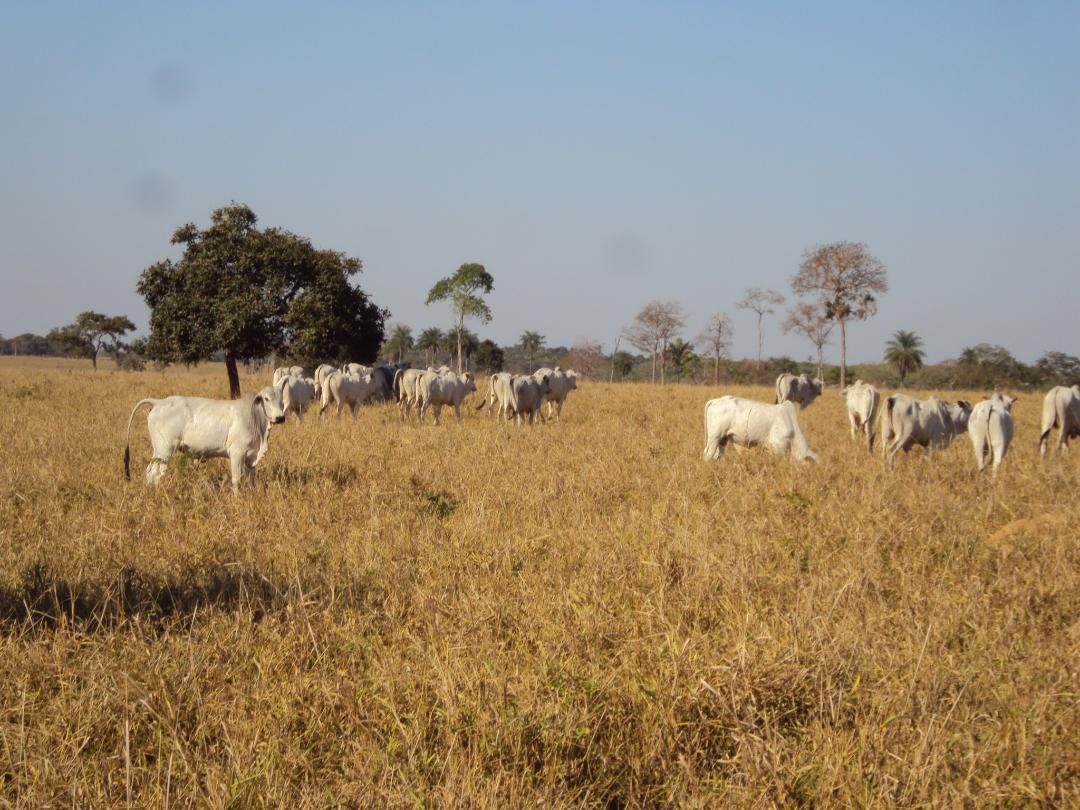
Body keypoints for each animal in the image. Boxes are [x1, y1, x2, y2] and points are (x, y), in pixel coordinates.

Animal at [123, 384, 285, 492]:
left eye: (281, 399)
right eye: (266, 399)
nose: (280, 418)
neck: (255, 418)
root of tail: (159, 402)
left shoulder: (251, 457)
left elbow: (251, 478)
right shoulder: (236, 453)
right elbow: (236, 479)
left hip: (159, 451)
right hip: (164, 451)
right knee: (154, 474)